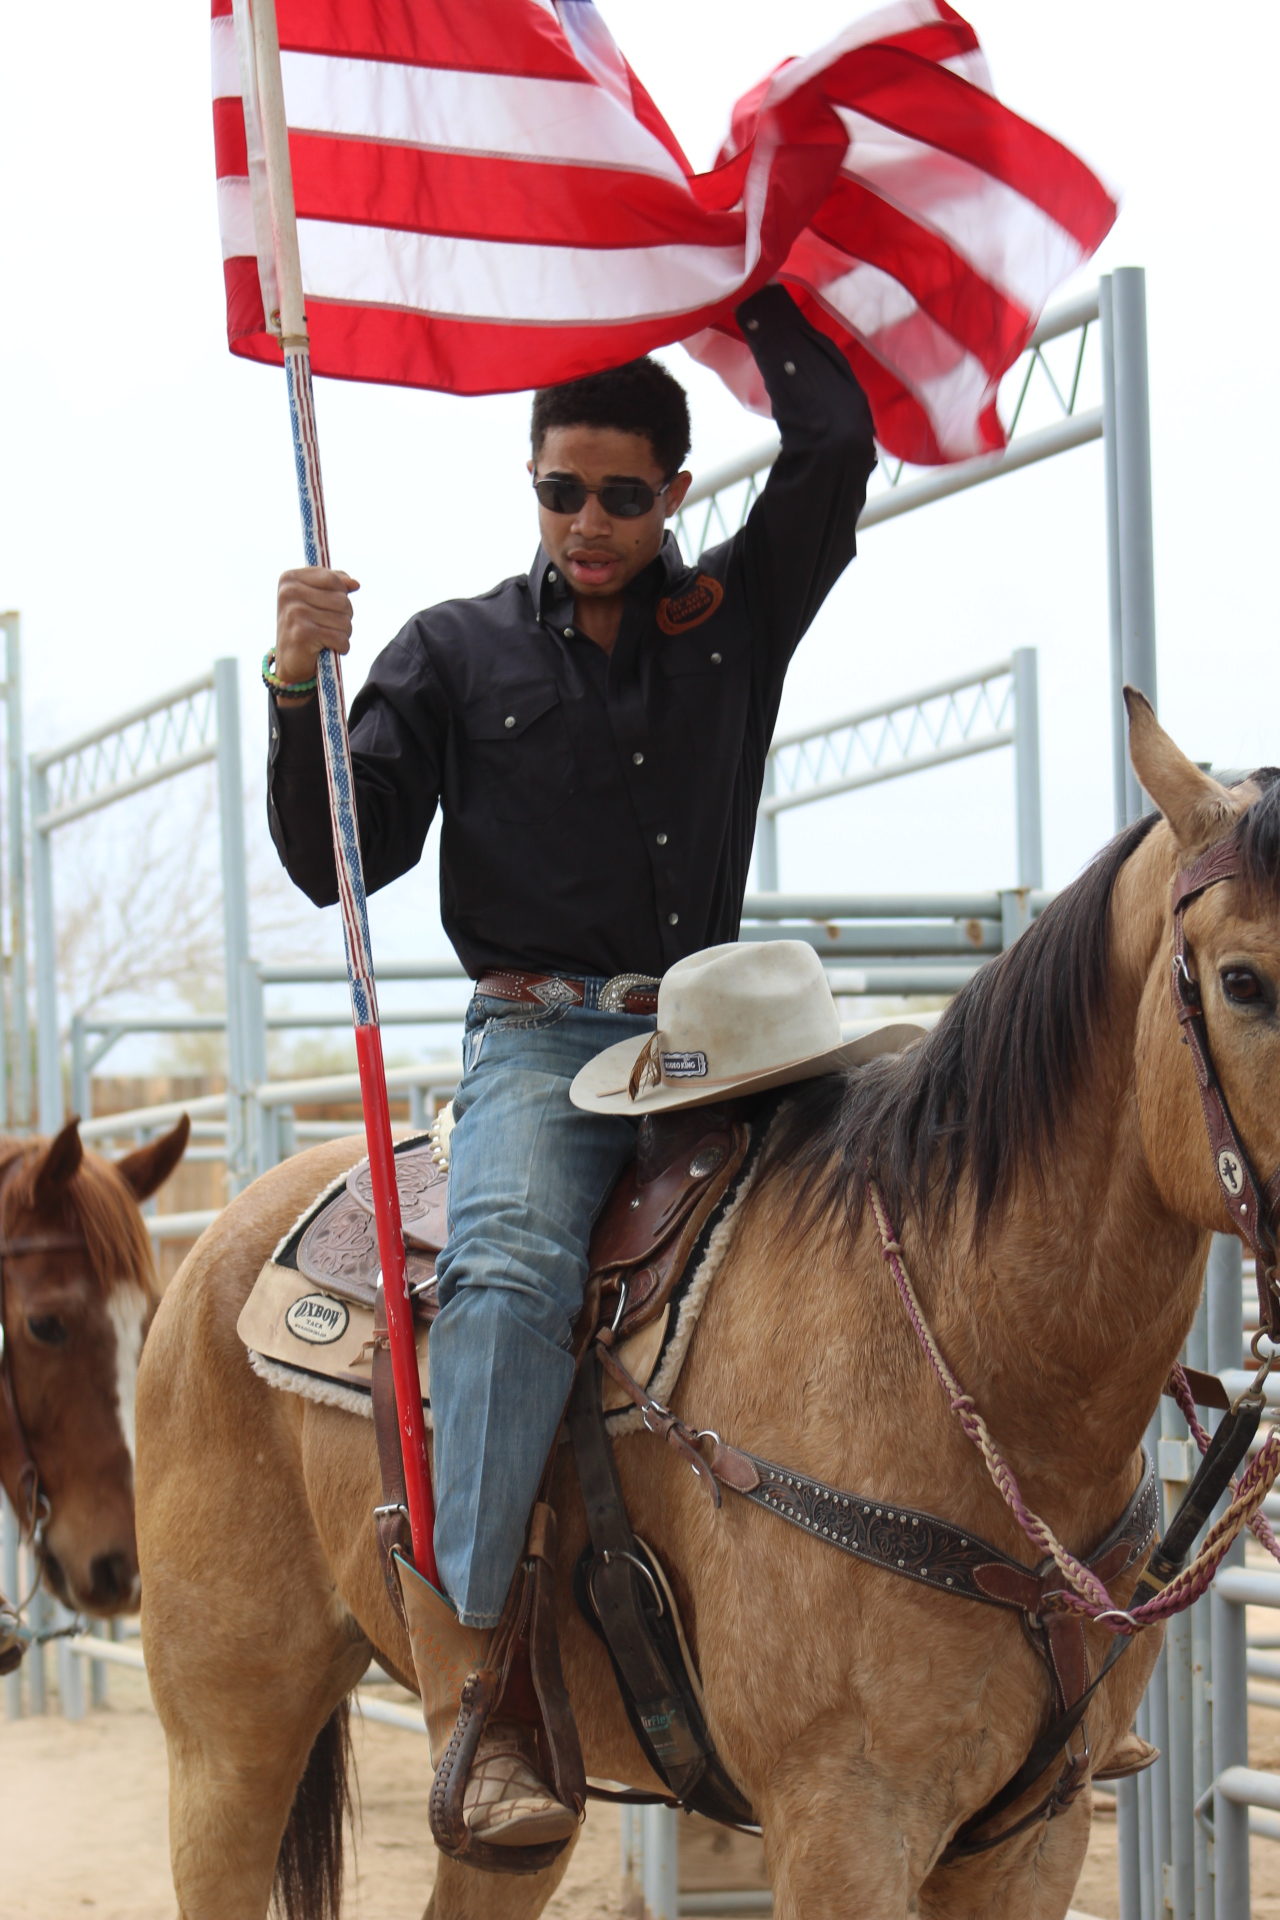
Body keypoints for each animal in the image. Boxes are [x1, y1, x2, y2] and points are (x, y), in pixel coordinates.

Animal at [134, 697, 1280, 1920]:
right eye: (1241, 982)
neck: (974, 1364)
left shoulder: (1032, 1838)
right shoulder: (843, 1821)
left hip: (514, 1821)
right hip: (227, 1730)